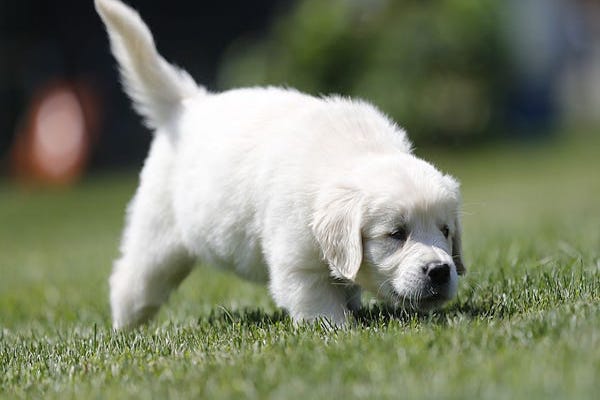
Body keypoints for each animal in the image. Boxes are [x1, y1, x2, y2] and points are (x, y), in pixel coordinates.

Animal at [96, 0, 466, 332]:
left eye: (446, 231)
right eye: (396, 234)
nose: (440, 270)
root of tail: (186, 105)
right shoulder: (296, 259)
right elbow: (318, 303)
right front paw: (339, 330)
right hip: (159, 235)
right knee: (132, 280)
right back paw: (125, 329)